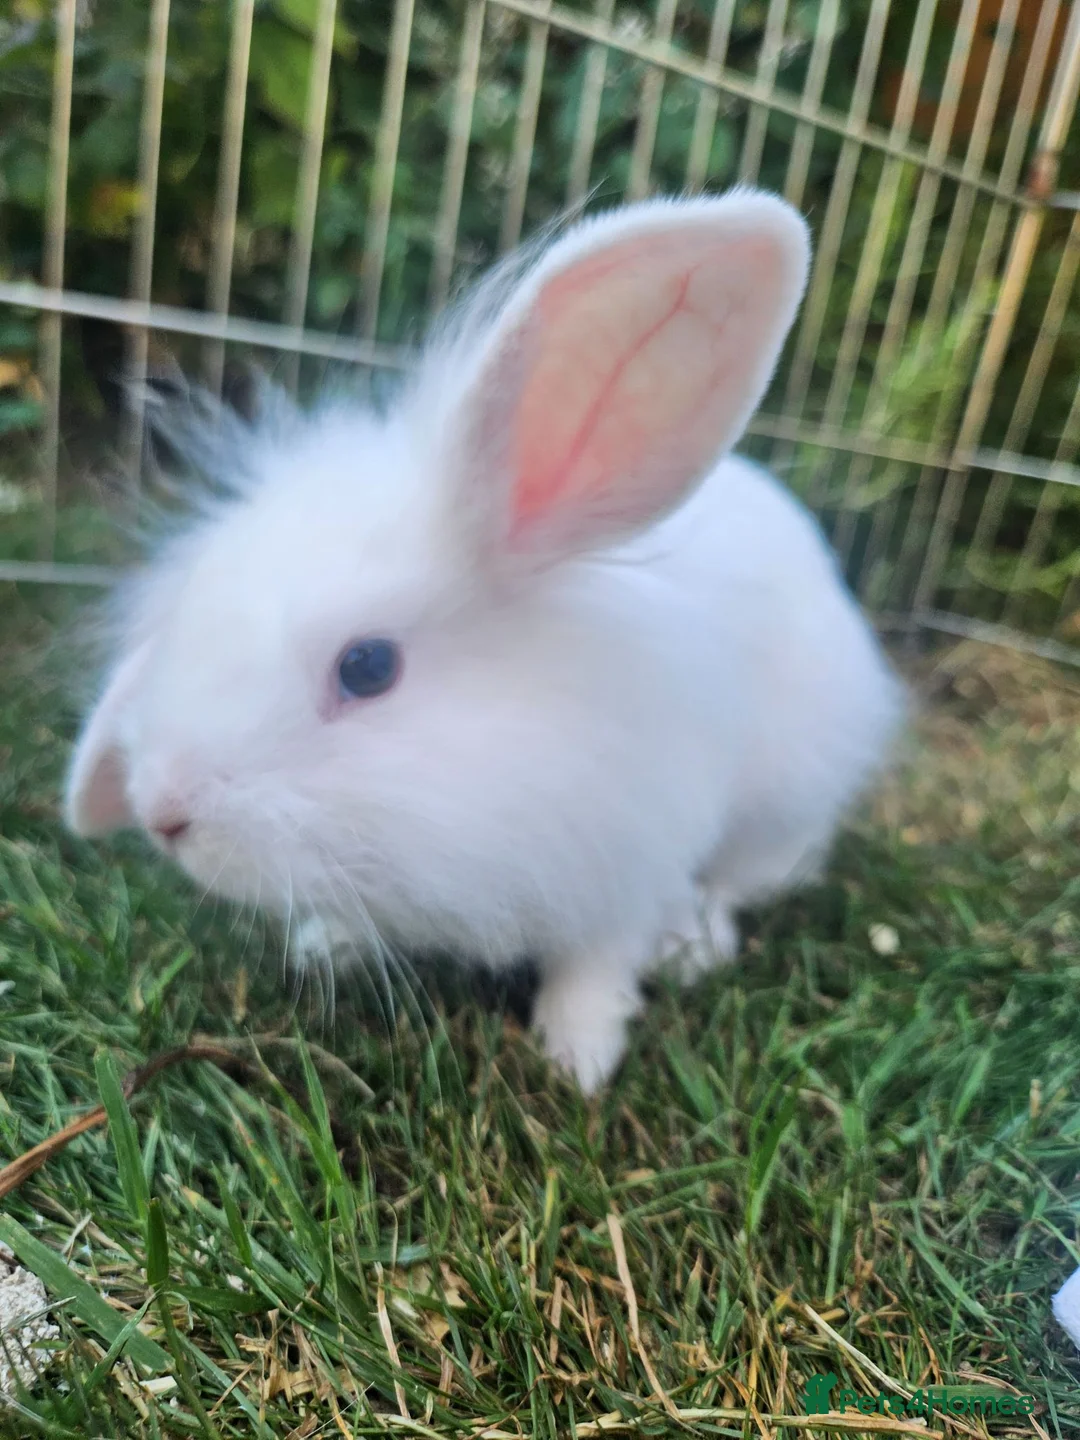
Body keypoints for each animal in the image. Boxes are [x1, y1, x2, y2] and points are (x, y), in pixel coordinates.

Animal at [64, 189, 905, 1092]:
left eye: (368, 667)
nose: (163, 814)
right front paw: (329, 945)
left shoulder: (629, 861)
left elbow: (598, 967)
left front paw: (578, 1058)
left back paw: (697, 943)